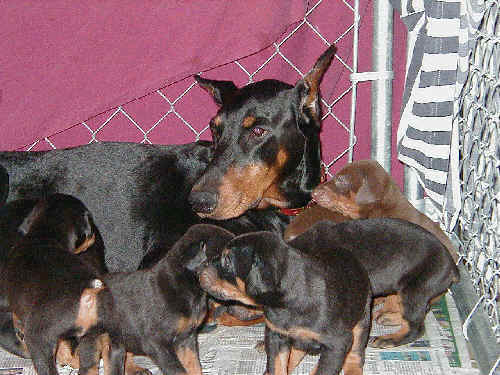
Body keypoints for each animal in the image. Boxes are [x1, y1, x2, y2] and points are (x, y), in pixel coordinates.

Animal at [195, 231, 372, 374]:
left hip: (363, 317)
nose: (199, 268)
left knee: (356, 353)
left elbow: (324, 370)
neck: (285, 304)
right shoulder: (276, 336)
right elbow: (276, 365)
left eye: (227, 261)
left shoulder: (338, 343)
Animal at [288, 220, 458, 350]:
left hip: (414, 289)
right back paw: (388, 317)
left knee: (416, 327)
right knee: (421, 312)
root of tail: (452, 267)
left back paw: (388, 339)